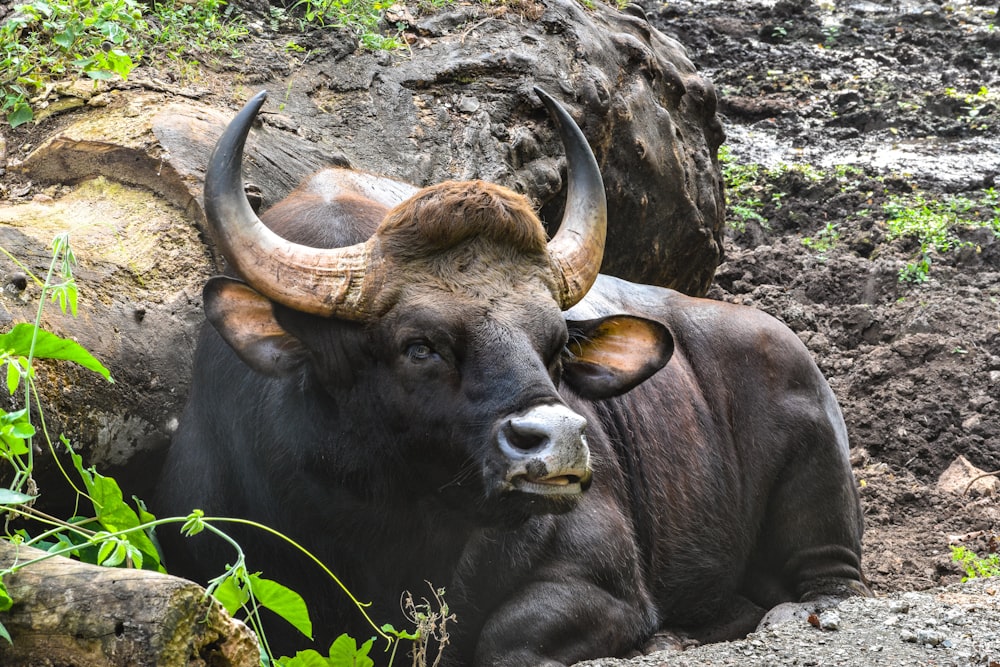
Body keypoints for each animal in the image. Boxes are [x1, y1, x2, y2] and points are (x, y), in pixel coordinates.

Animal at [156, 86, 868, 664]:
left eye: (553, 347)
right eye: (419, 345)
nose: (560, 444)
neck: (383, 533)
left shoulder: (603, 580)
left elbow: (505, 638)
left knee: (835, 583)